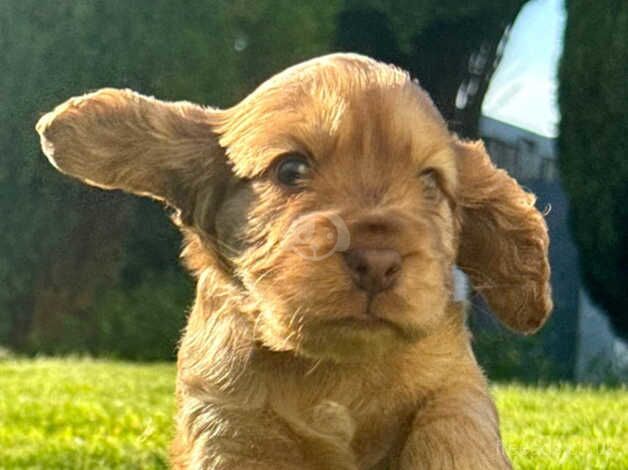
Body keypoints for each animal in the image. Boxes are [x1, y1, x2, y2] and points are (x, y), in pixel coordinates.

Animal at [36, 53, 552, 468]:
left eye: (430, 182)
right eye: (290, 169)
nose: (378, 262)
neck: (336, 372)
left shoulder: (453, 380)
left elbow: (454, 424)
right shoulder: (229, 423)